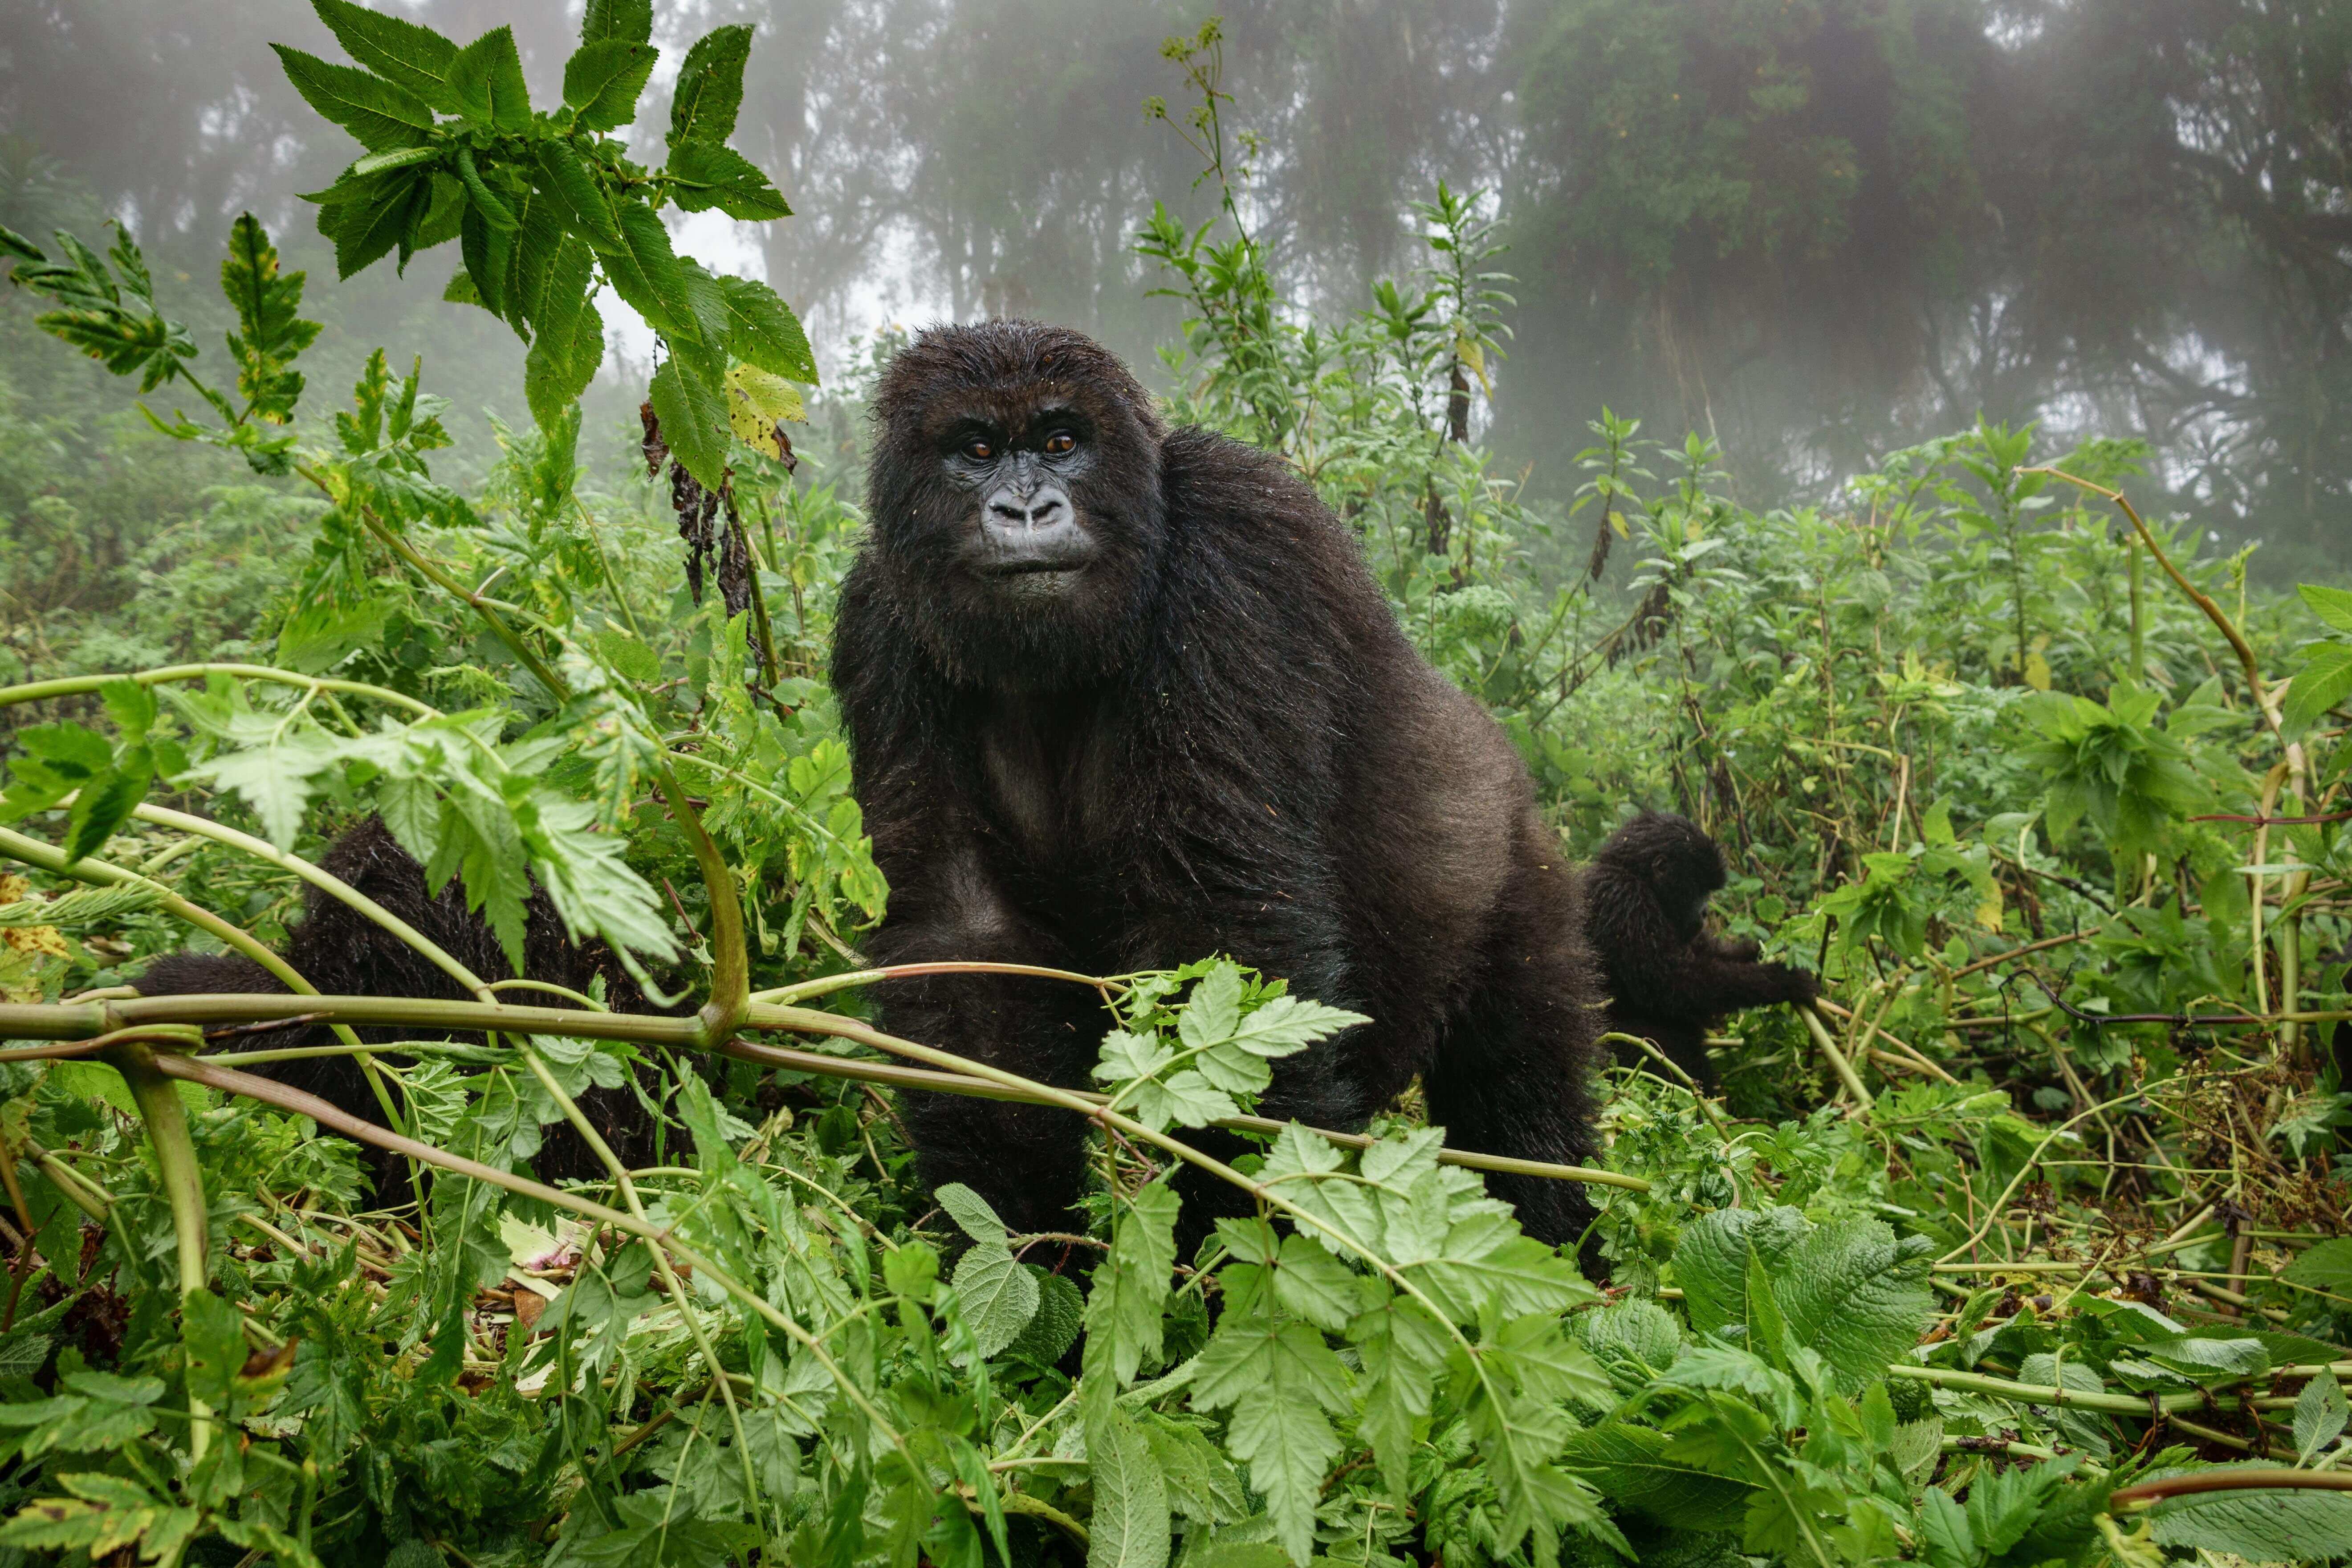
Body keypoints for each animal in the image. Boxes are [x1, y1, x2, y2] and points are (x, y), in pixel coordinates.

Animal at [832, 319, 1607, 1253]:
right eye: (975, 451)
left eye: (1061, 443)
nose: (1025, 511)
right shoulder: (878, 619)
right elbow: (966, 935)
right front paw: (1022, 1249)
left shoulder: (1238, 545)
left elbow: (1226, 934)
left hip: (1525, 873)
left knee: (1518, 1092)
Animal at [1580, 810, 1817, 1092]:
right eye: (1698, 888)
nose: (1705, 913)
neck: (1636, 875)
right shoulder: (1624, 899)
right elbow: (1673, 983)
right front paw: (1780, 980)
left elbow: (1702, 956)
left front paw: (1760, 952)